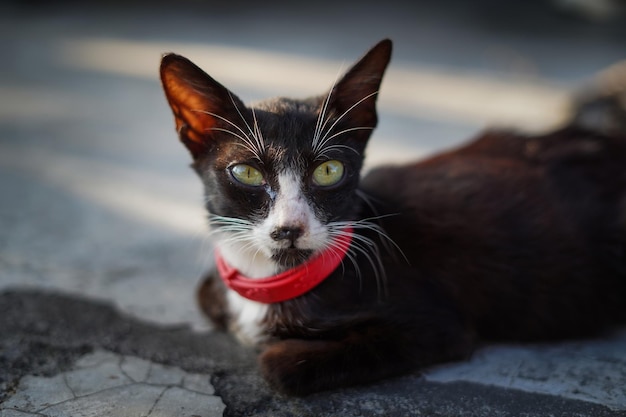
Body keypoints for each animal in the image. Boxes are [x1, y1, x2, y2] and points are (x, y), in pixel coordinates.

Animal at [160, 38, 624, 394]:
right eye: (246, 173)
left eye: (329, 171)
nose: (290, 228)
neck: (274, 279)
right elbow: (206, 291)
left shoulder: (437, 324)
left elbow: (278, 364)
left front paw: (275, 348)